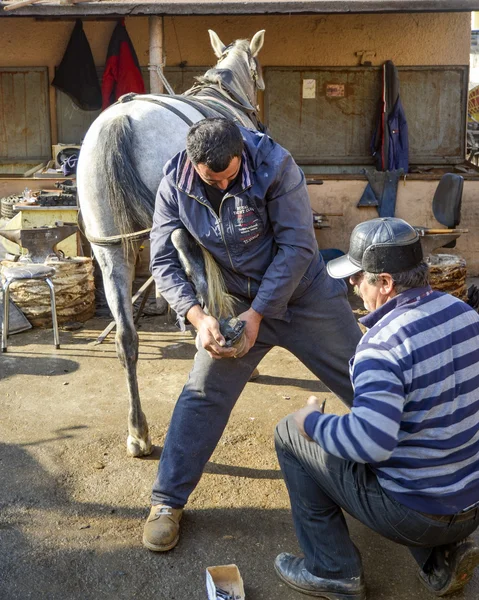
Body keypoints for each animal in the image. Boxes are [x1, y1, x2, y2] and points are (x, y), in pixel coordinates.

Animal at [77, 28, 268, 458]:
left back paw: (138, 432)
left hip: (108, 246)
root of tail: (119, 122)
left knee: (126, 337)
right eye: (258, 69)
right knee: (185, 252)